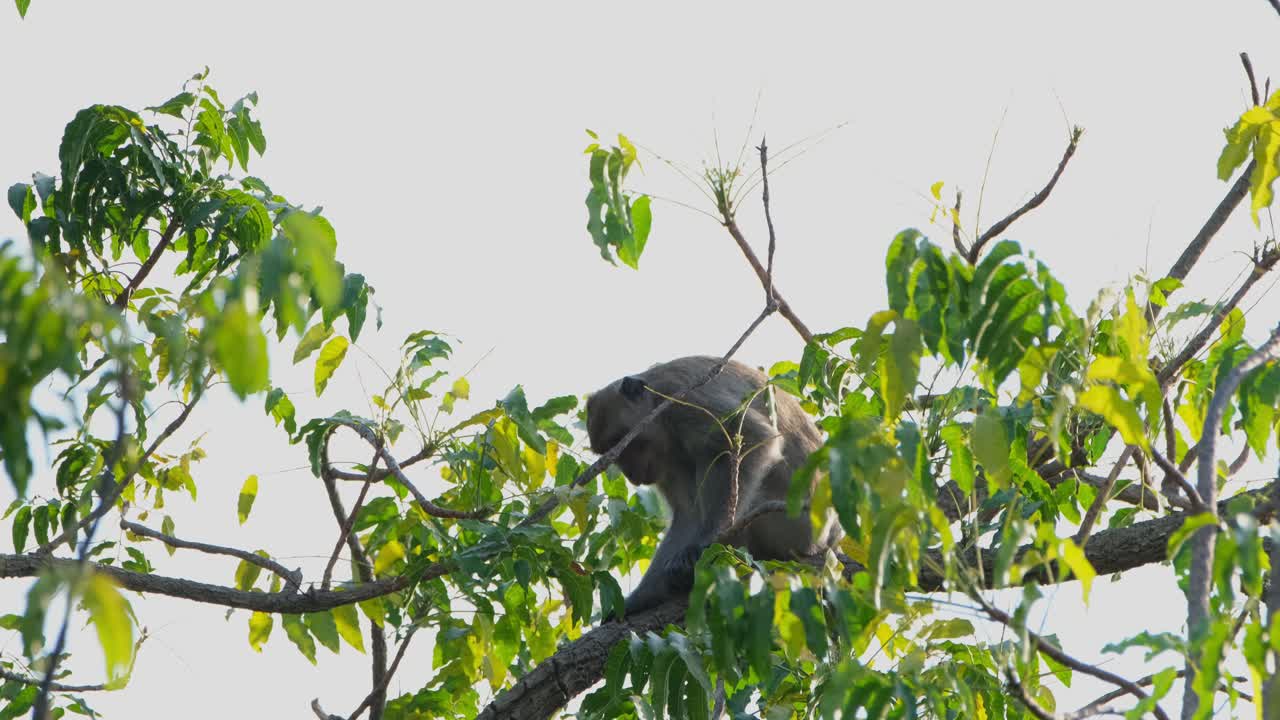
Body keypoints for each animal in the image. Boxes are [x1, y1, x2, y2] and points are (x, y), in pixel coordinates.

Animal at [586, 355, 840, 616]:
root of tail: (831, 538)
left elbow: (753, 437)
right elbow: (687, 514)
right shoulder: (666, 462)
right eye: (613, 455)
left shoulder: (686, 402)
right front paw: (643, 597)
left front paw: (704, 543)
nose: (632, 476)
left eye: (625, 445)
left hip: (795, 527)